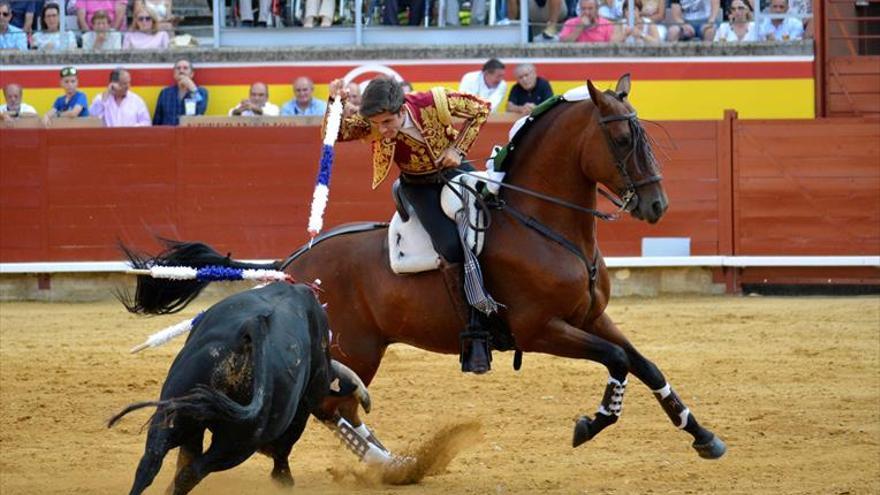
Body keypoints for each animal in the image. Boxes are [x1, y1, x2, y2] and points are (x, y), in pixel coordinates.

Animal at [108, 282, 370, 495]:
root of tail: (252, 327)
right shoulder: (309, 396)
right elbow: (286, 445)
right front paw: (283, 479)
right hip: (238, 445)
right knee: (192, 472)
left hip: (176, 412)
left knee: (152, 463)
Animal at [125, 75, 728, 464]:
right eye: (623, 137)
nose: (656, 205)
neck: (543, 223)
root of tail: (291, 266)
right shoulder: (541, 329)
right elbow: (618, 362)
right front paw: (590, 424)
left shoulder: (591, 317)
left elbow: (644, 363)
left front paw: (703, 436)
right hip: (355, 351)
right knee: (330, 405)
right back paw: (390, 466)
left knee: (336, 406)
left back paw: (390, 461)